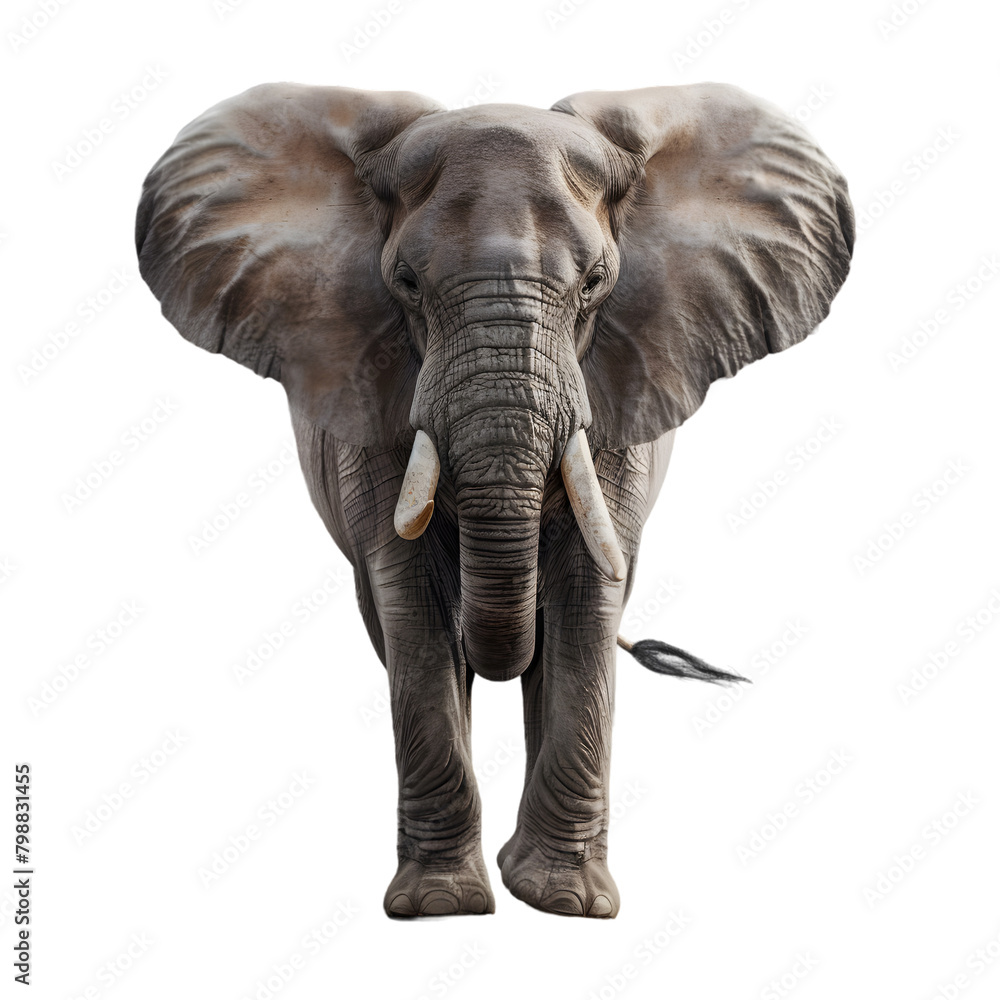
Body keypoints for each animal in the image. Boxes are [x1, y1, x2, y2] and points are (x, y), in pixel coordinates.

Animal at [135, 81, 853, 919]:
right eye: (406, 283)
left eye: (596, 282)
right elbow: (412, 604)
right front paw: (442, 905)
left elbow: (585, 595)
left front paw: (563, 903)